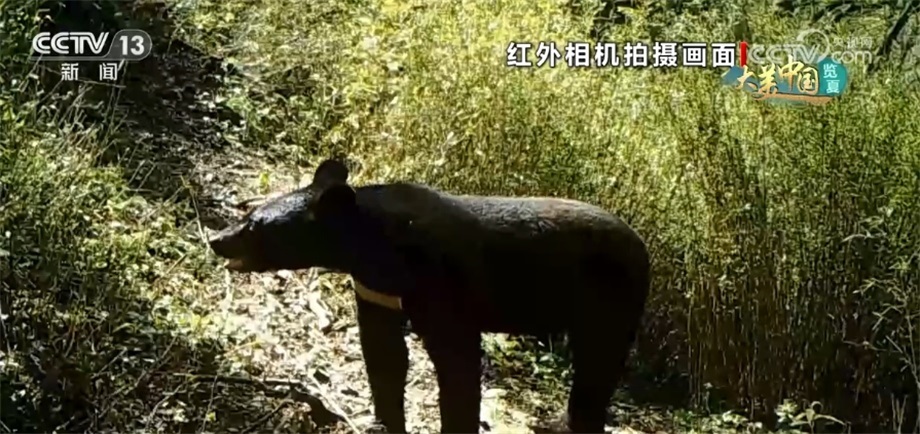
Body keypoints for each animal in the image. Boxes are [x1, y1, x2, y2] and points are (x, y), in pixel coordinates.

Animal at [208, 158, 651, 433]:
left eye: (253, 224)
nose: (217, 239)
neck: (376, 250)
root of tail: (644, 248)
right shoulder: (377, 292)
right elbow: (384, 357)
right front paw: (384, 423)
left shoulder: (441, 287)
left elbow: (457, 368)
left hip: (611, 301)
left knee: (597, 367)